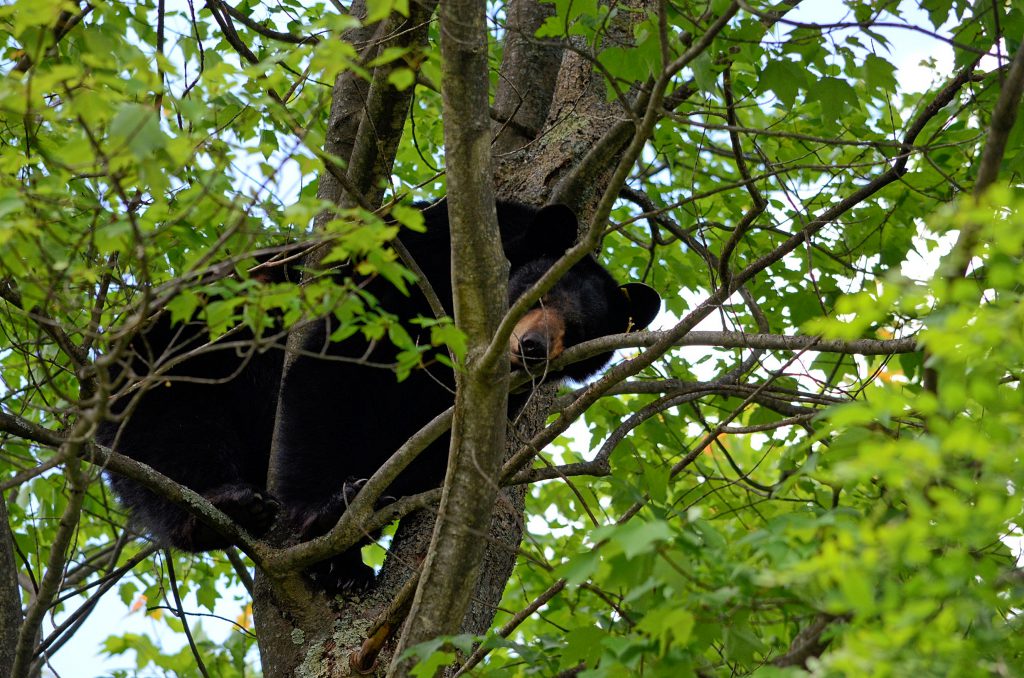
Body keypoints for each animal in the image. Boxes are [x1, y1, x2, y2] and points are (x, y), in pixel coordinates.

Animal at [99, 199, 659, 585]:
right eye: (538, 292)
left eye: (580, 330)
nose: (534, 349)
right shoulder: (397, 278)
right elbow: (331, 377)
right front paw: (321, 508)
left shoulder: (483, 397)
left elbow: (430, 453)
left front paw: (345, 546)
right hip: (174, 358)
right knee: (174, 435)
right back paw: (222, 509)